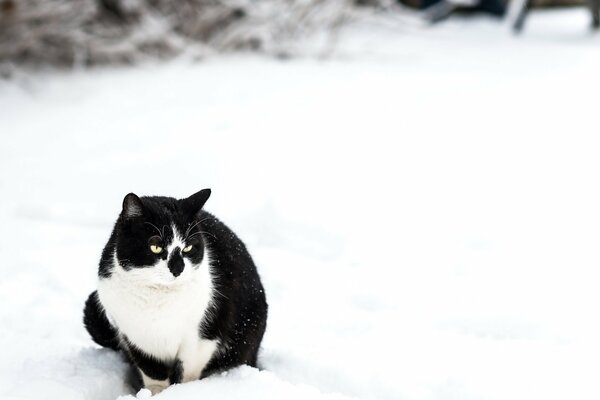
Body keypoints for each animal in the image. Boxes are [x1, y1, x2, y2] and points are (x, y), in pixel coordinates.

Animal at [82, 190, 268, 394]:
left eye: (188, 247)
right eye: (155, 246)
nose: (178, 268)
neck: (159, 298)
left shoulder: (203, 335)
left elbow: (188, 371)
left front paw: (181, 391)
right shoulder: (136, 336)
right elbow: (152, 370)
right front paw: (155, 393)